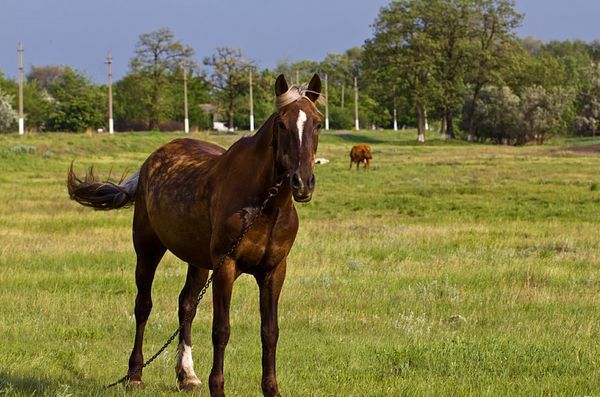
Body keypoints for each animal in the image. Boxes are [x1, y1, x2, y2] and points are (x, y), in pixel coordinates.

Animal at [67, 73, 324, 392]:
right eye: (281, 124)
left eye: (317, 122)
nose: (302, 182)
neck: (263, 208)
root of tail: (150, 161)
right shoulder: (226, 267)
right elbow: (221, 330)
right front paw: (218, 387)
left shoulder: (274, 271)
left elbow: (269, 331)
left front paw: (271, 389)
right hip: (148, 248)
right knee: (143, 305)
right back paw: (135, 374)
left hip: (199, 262)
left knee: (186, 305)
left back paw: (187, 375)